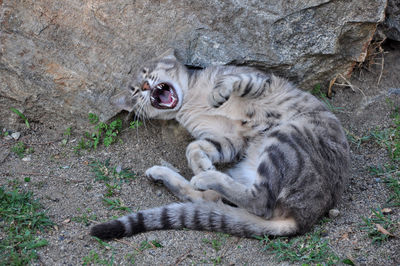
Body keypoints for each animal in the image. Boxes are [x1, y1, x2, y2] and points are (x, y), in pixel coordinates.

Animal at [89, 49, 348, 239]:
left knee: (253, 201)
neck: (191, 99)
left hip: (286, 136)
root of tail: (305, 218)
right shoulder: (228, 138)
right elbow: (193, 147)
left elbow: (233, 80)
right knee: (229, 200)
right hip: (258, 159)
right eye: (134, 92)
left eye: (147, 72)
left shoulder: (257, 80)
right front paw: (201, 165)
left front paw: (217, 94)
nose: (144, 87)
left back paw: (198, 177)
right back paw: (180, 175)